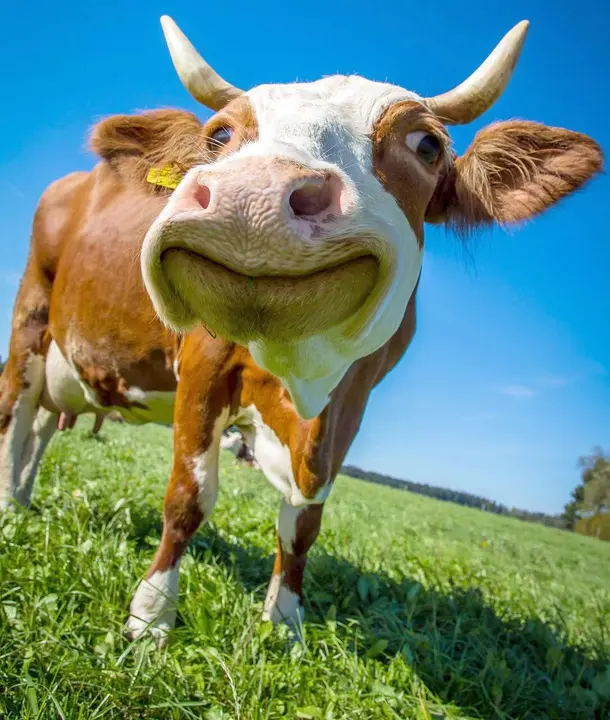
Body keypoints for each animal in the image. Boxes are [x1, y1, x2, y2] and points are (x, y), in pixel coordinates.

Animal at [0, 16, 602, 646]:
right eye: (219, 135)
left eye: (427, 146)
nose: (252, 196)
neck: (301, 376)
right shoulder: (202, 367)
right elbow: (189, 497)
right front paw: (151, 615)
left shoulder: (352, 402)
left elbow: (304, 521)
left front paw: (285, 620)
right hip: (30, 317)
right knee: (16, 414)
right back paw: (10, 509)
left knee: (41, 426)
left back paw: (25, 496)